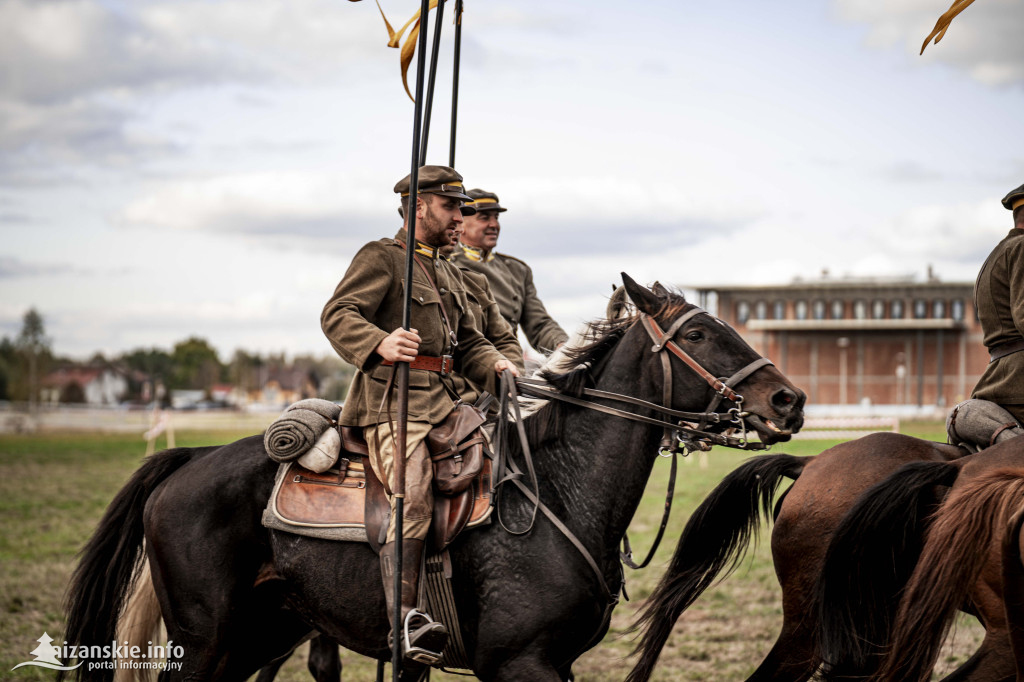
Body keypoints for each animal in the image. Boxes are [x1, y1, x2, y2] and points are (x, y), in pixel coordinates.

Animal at [59, 274, 802, 679]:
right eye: (699, 335)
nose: (788, 400)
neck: (558, 492)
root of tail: (189, 459)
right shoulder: (520, 664)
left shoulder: (555, 661)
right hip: (206, 639)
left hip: (258, 634)